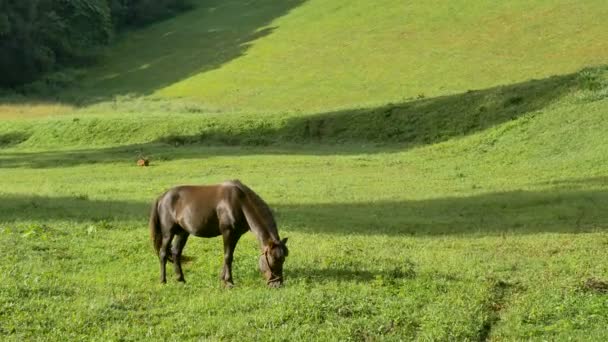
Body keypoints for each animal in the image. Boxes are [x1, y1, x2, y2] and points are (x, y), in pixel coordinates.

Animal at [148, 180, 288, 288]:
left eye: (283, 259)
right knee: (163, 253)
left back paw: (181, 279)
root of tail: (162, 197)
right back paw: (163, 281)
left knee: (176, 253)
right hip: (168, 233)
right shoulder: (228, 232)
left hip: (183, 233)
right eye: (273, 260)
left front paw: (223, 279)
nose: (277, 284)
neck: (240, 202)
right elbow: (227, 256)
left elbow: (229, 256)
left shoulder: (236, 235)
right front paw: (229, 282)